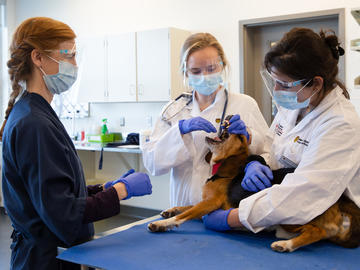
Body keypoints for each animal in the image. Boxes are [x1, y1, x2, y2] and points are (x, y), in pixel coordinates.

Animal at [146, 116, 360, 253]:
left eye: (240, 136)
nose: (229, 118)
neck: (222, 169)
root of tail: (340, 199)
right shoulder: (205, 204)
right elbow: (187, 207)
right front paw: (170, 210)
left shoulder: (211, 204)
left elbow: (185, 214)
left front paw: (162, 223)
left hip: (291, 215)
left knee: (317, 231)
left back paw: (287, 245)